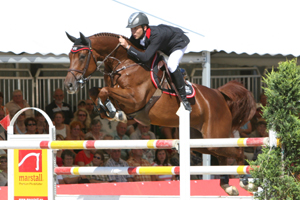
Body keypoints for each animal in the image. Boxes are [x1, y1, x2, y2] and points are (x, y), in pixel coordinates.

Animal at [63, 32, 255, 195]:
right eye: (69, 56)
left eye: (82, 56)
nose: (69, 85)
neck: (124, 63)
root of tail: (219, 95)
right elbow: (96, 91)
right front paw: (108, 110)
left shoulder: (135, 99)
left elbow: (104, 91)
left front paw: (115, 112)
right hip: (202, 143)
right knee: (223, 156)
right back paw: (228, 186)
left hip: (213, 136)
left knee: (237, 152)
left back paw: (245, 180)